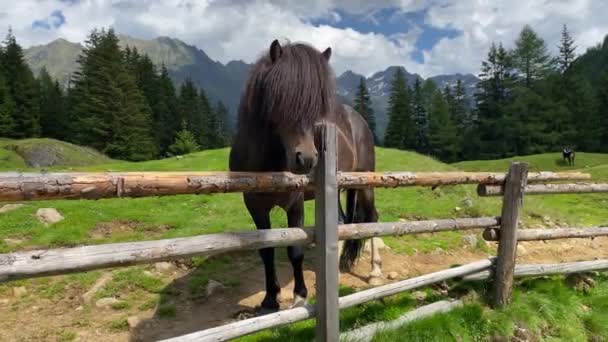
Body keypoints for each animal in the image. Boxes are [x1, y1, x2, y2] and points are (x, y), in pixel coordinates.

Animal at [230, 39, 382, 312]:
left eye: (319, 104)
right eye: (281, 97)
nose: (308, 159)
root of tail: (359, 121)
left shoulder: (295, 204)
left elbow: (295, 250)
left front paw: (300, 295)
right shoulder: (254, 206)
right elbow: (266, 251)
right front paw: (270, 299)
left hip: (366, 183)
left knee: (373, 218)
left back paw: (375, 272)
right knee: (343, 222)